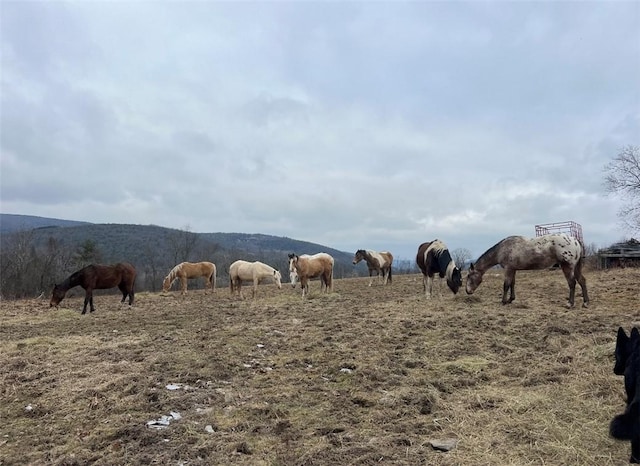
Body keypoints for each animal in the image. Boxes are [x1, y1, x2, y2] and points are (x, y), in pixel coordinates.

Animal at [464, 233, 592, 310]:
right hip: (576, 267)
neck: (503, 249)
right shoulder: (513, 269)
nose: (468, 291)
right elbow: (512, 284)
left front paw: (503, 301)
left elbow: (506, 285)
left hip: (567, 266)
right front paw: (511, 299)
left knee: (572, 283)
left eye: (469, 276)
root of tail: (574, 240)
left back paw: (570, 303)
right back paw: (585, 302)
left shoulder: (508, 269)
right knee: (582, 281)